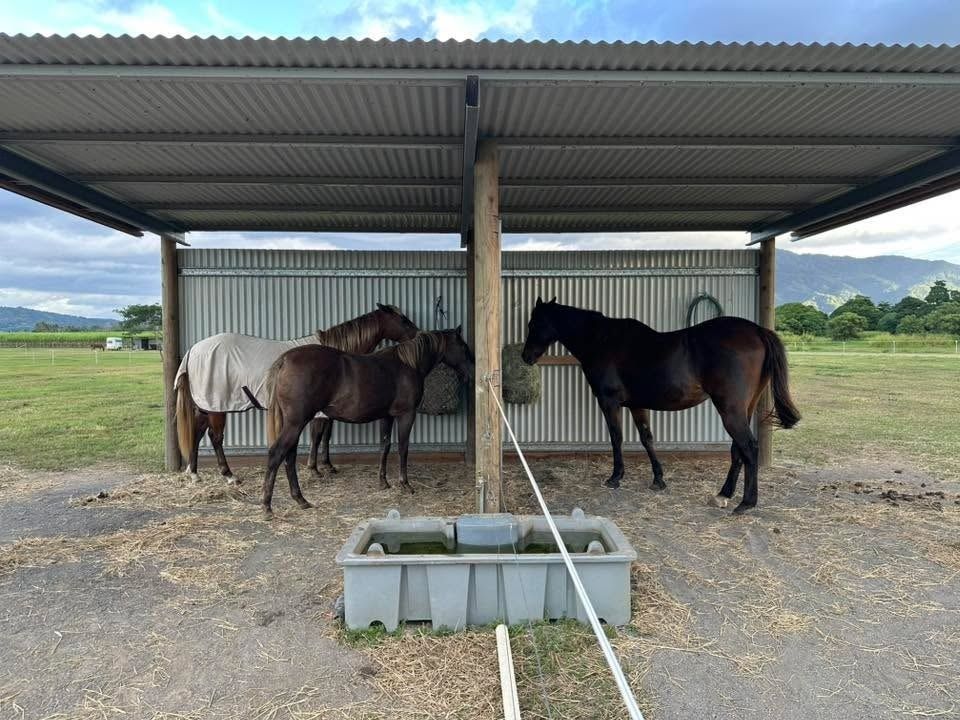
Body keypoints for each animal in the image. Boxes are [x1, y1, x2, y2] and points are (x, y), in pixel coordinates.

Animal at [174, 304, 419, 481]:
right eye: (402, 320)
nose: (418, 334)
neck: (338, 357)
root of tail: (193, 350)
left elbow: (326, 435)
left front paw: (327, 465)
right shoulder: (318, 413)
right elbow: (318, 436)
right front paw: (314, 468)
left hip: (207, 405)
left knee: (197, 432)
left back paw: (194, 473)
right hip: (217, 406)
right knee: (215, 437)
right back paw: (228, 475)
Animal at [261, 328, 474, 518]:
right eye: (463, 347)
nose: (471, 373)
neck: (408, 364)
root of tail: (285, 360)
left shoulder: (387, 416)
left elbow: (385, 446)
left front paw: (383, 482)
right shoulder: (406, 415)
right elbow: (403, 448)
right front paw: (405, 484)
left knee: (289, 457)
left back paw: (300, 500)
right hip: (296, 423)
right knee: (277, 454)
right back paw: (267, 507)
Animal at [520, 298, 800, 513]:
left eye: (534, 323)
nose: (525, 356)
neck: (601, 340)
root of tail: (757, 331)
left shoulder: (609, 402)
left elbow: (616, 438)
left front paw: (615, 477)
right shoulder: (637, 405)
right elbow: (647, 439)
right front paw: (658, 479)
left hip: (730, 410)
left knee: (749, 447)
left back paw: (746, 503)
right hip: (744, 408)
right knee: (738, 450)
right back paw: (724, 494)